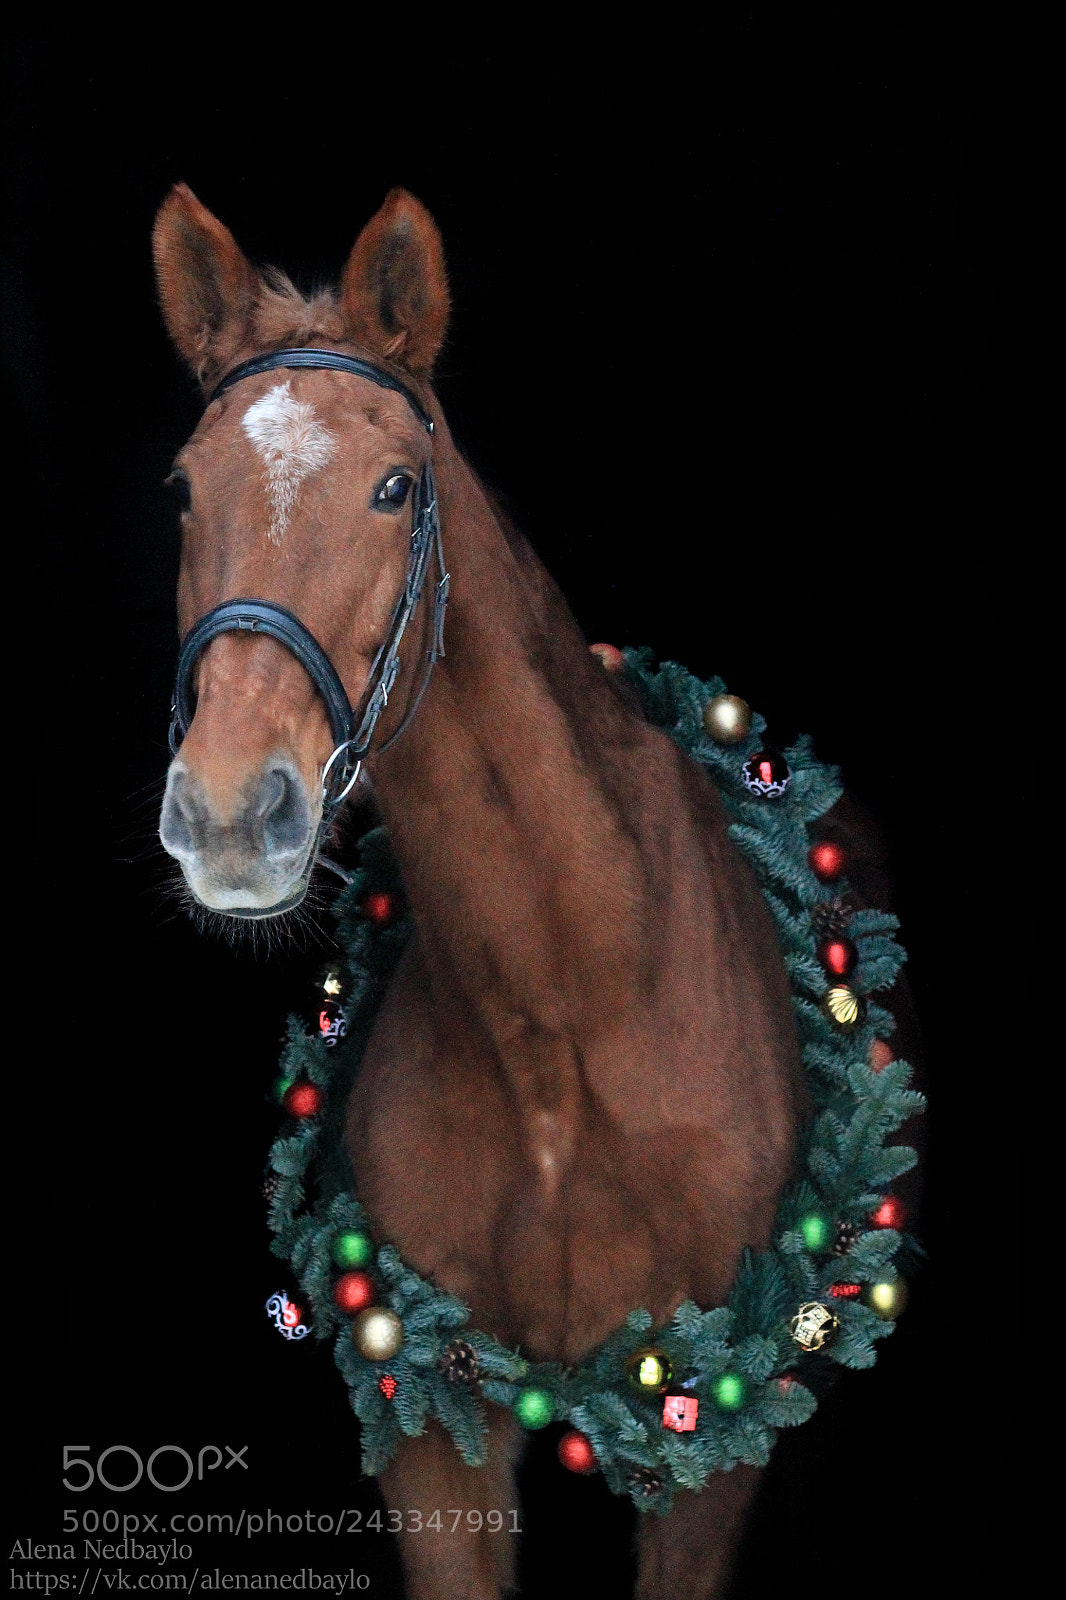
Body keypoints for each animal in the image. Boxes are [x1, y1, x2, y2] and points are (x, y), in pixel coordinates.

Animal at [153, 183, 923, 1599]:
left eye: (396, 488)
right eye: (184, 488)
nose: (232, 814)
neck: (567, 1025)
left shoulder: (712, 1439)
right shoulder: (427, 1420)